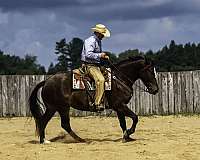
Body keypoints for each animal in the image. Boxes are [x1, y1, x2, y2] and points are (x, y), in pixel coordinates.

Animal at [28, 56, 159, 144]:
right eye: (149, 71)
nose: (155, 90)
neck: (119, 79)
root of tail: (47, 81)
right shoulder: (120, 105)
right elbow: (135, 117)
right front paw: (129, 132)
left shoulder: (119, 107)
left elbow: (123, 123)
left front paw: (127, 137)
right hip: (59, 107)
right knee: (50, 122)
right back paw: (46, 140)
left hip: (56, 108)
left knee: (56, 123)